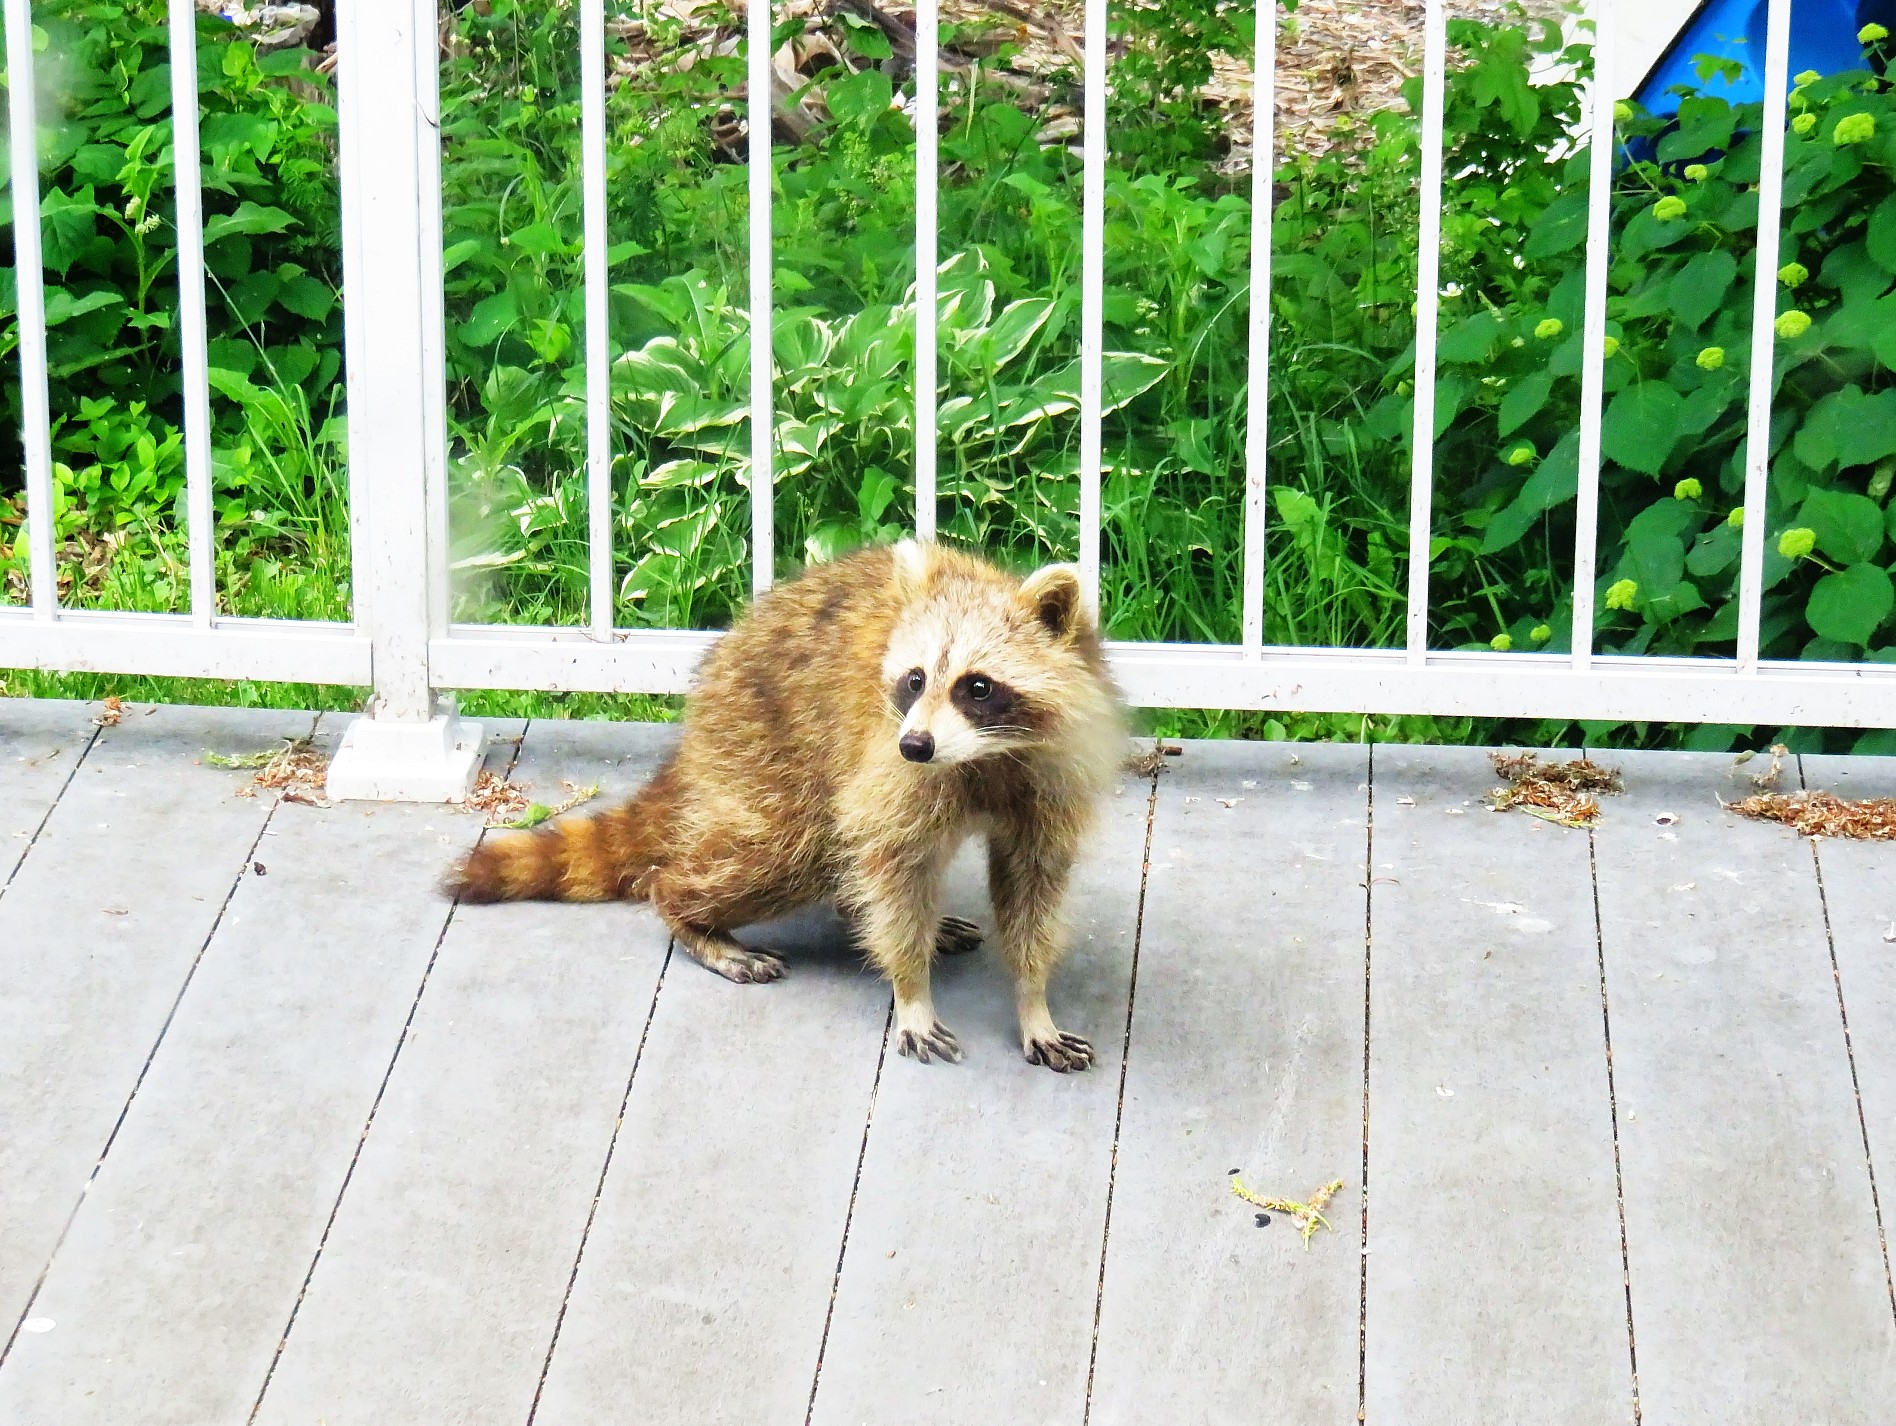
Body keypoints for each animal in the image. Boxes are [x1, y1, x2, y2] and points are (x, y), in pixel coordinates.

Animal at [446, 540, 1127, 1070]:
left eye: (976, 687)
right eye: (914, 680)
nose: (916, 744)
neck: (984, 756)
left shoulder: (1051, 775)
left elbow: (1032, 885)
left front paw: (1033, 998)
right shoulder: (889, 760)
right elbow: (893, 863)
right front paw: (911, 991)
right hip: (764, 740)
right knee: (789, 850)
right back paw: (686, 911)